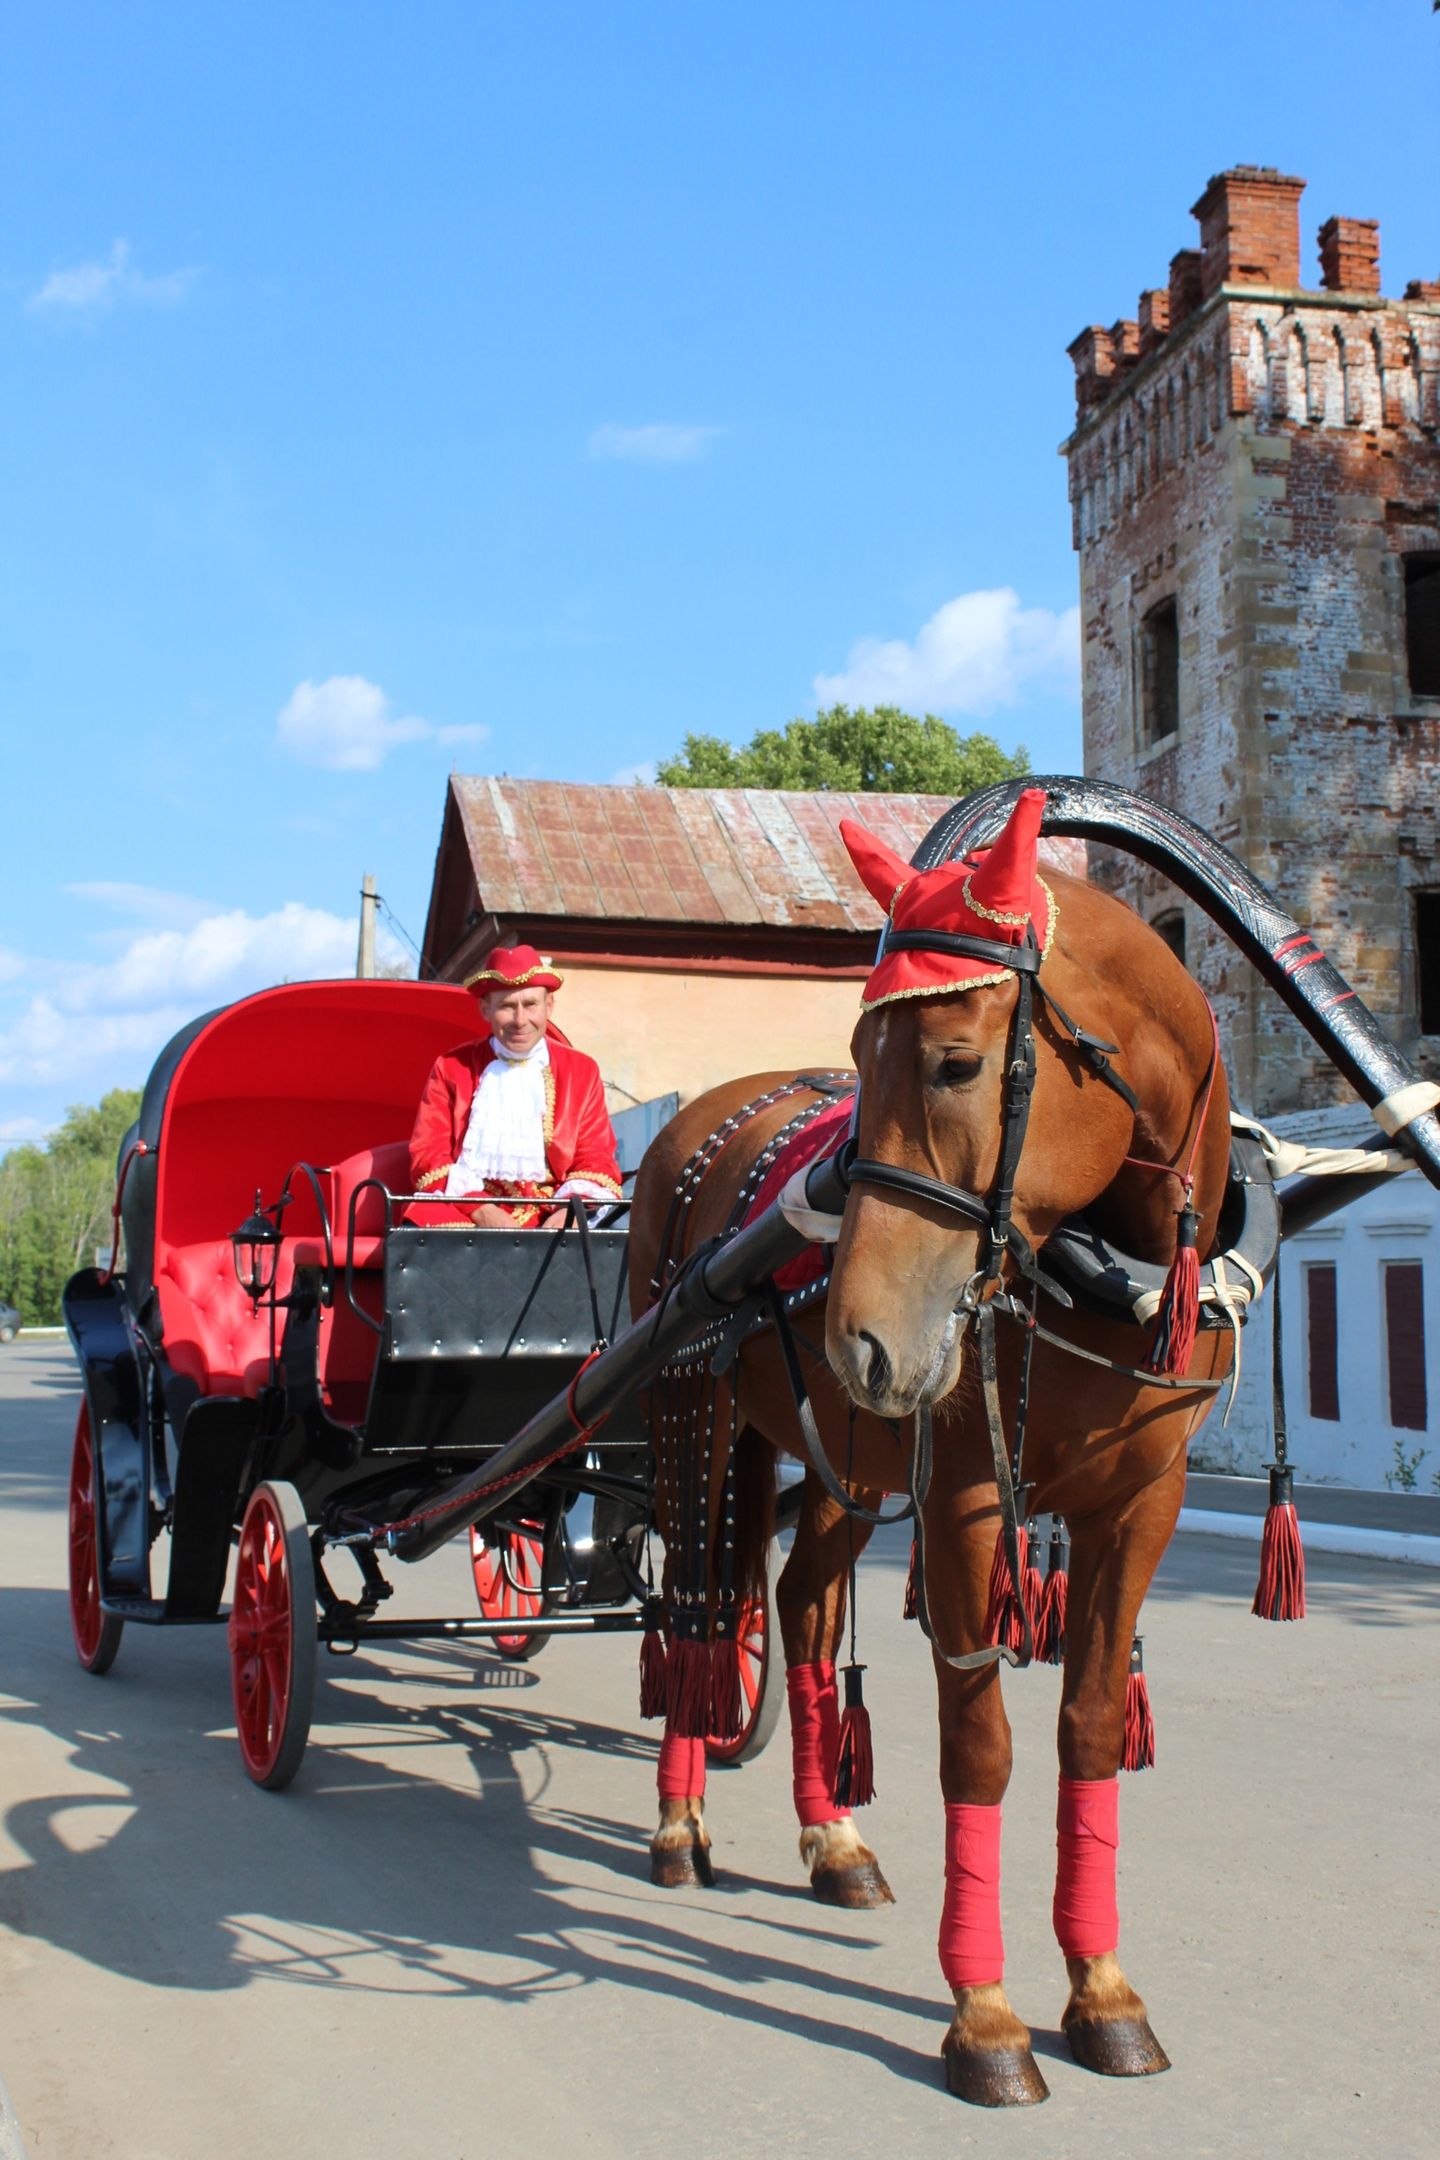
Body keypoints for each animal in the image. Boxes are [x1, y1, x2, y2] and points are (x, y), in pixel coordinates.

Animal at [626, 794, 1234, 2108]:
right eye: (858, 1064)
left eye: (957, 1062)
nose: (858, 1335)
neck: (1108, 1270)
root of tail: (696, 1121)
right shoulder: (963, 1496)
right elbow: (981, 1746)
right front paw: (987, 2015)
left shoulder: (1142, 1503)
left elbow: (1088, 1725)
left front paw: (1102, 1990)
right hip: (691, 1411)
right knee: (696, 1611)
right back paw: (680, 1826)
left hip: (843, 1456)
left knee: (799, 1609)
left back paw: (833, 1840)